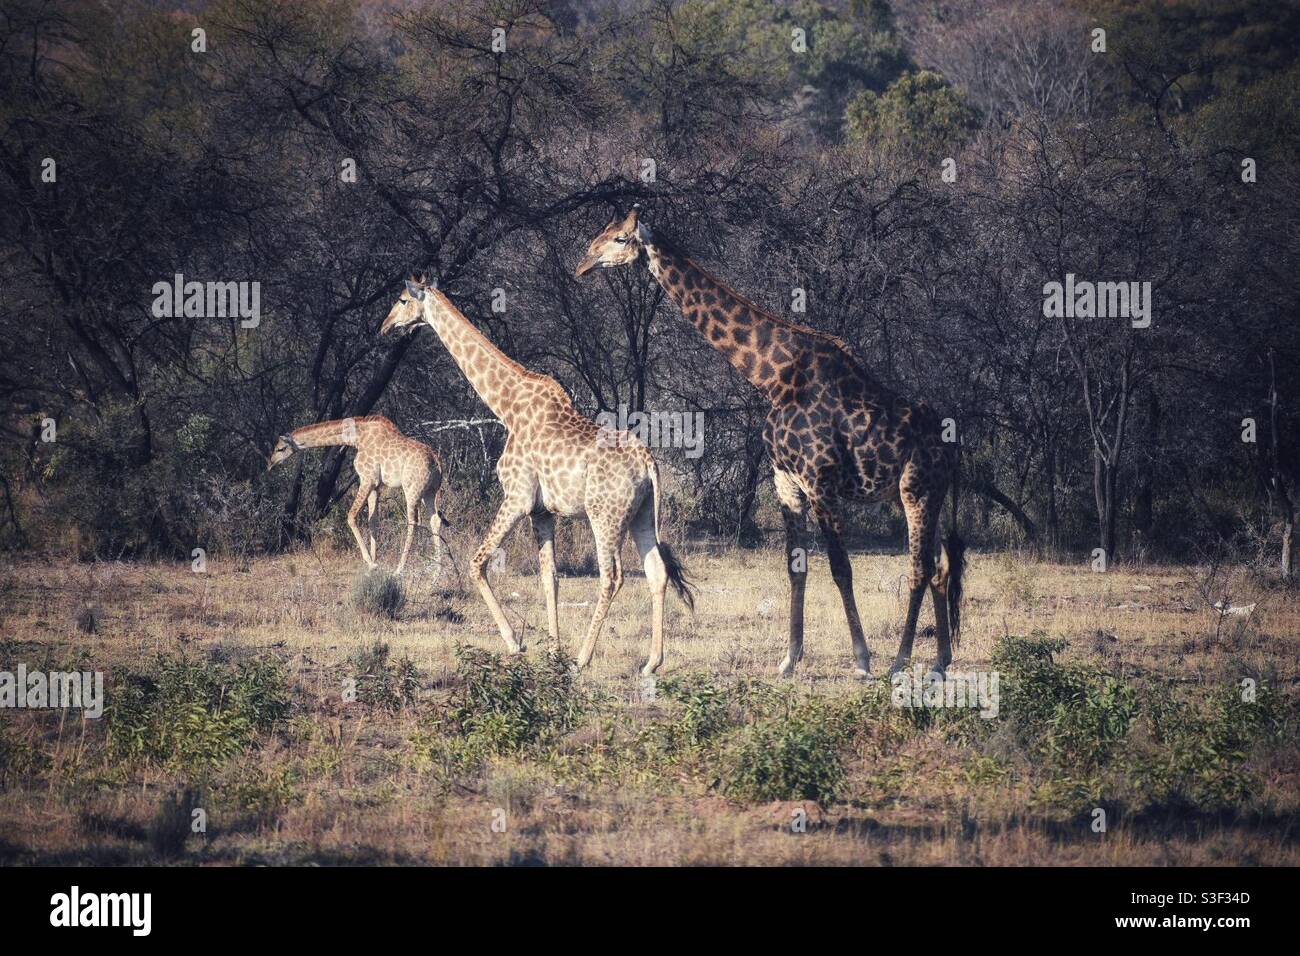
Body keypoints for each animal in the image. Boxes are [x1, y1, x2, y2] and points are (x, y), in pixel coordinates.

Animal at [268, 416, 447, 576]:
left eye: (280, 448)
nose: (270, 464)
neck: (356, 438)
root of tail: (436, 462)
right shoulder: (376, 486)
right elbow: (373, 521)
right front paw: (374, 563)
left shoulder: (367, 479)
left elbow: (351, 516)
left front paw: (371, 563)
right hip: (430, 491)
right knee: (435, 520)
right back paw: (437, 570)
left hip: (411, 488)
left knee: (413, 522)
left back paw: (400, 569)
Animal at [380, 276, 694, 674]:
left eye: (403, 300)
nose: (385, 326)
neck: (507, 407)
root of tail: (648, 463)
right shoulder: (542, 511)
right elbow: (550, 578)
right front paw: (552, 651)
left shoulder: (517, 496)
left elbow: (477, 563)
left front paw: (517, 643)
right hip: (642, 513)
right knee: (656, 570)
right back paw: (652, 662)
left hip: (604, 515)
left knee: (612, 576)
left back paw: (583, 658)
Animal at [576, 207, 965, 678]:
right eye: (600, 231)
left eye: (618, 238)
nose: (582, 263)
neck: (773, 377)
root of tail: (953, 445)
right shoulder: (786, 483)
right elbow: (795, 568)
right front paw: (789, 659)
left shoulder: (820, 481)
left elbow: (841, 568)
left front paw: (861, 659)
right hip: (928, 493)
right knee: (942, 566)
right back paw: (941, 660)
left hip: (916, 490)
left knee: (919, 567)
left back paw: (900, 661)